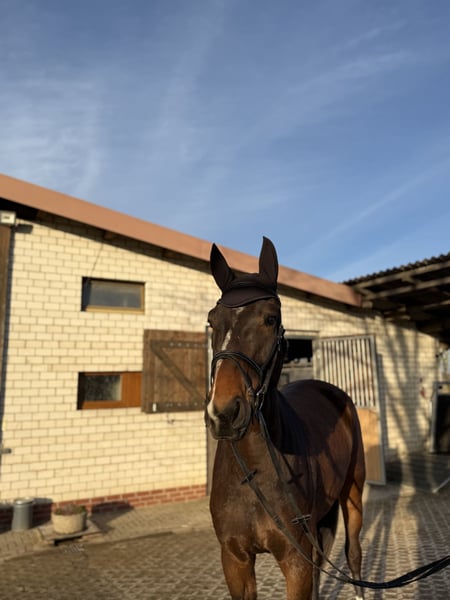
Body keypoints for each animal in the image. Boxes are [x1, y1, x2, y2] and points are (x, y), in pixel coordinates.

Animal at [205, 237, 366, 600]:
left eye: (270, 318)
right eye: (212, 321)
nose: (224, 413)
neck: (253, 469)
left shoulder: (295, 560)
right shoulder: (234, 559)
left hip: (352, 494)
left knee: (353, 554)